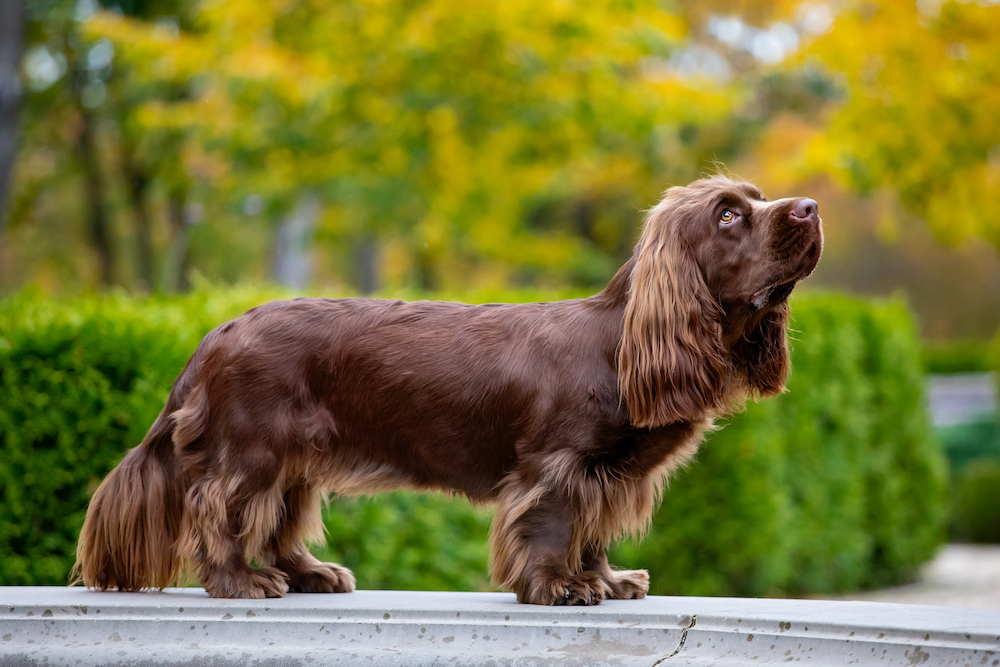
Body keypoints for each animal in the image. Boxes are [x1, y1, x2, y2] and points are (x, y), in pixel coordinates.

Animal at [72, 176, 820, 604]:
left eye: (756, 196)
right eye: (728, 215)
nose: (811, 207)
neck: (620, 340)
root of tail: (217, 331)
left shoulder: (607, 477)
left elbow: (594, 531)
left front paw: (607, 580)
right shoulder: (559, 465)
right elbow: (554, 526)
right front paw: (561, 586)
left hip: (296, 457)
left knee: (280, 519)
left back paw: (310, 573)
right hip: (252, 449)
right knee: (219, 512)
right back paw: (240, 582)